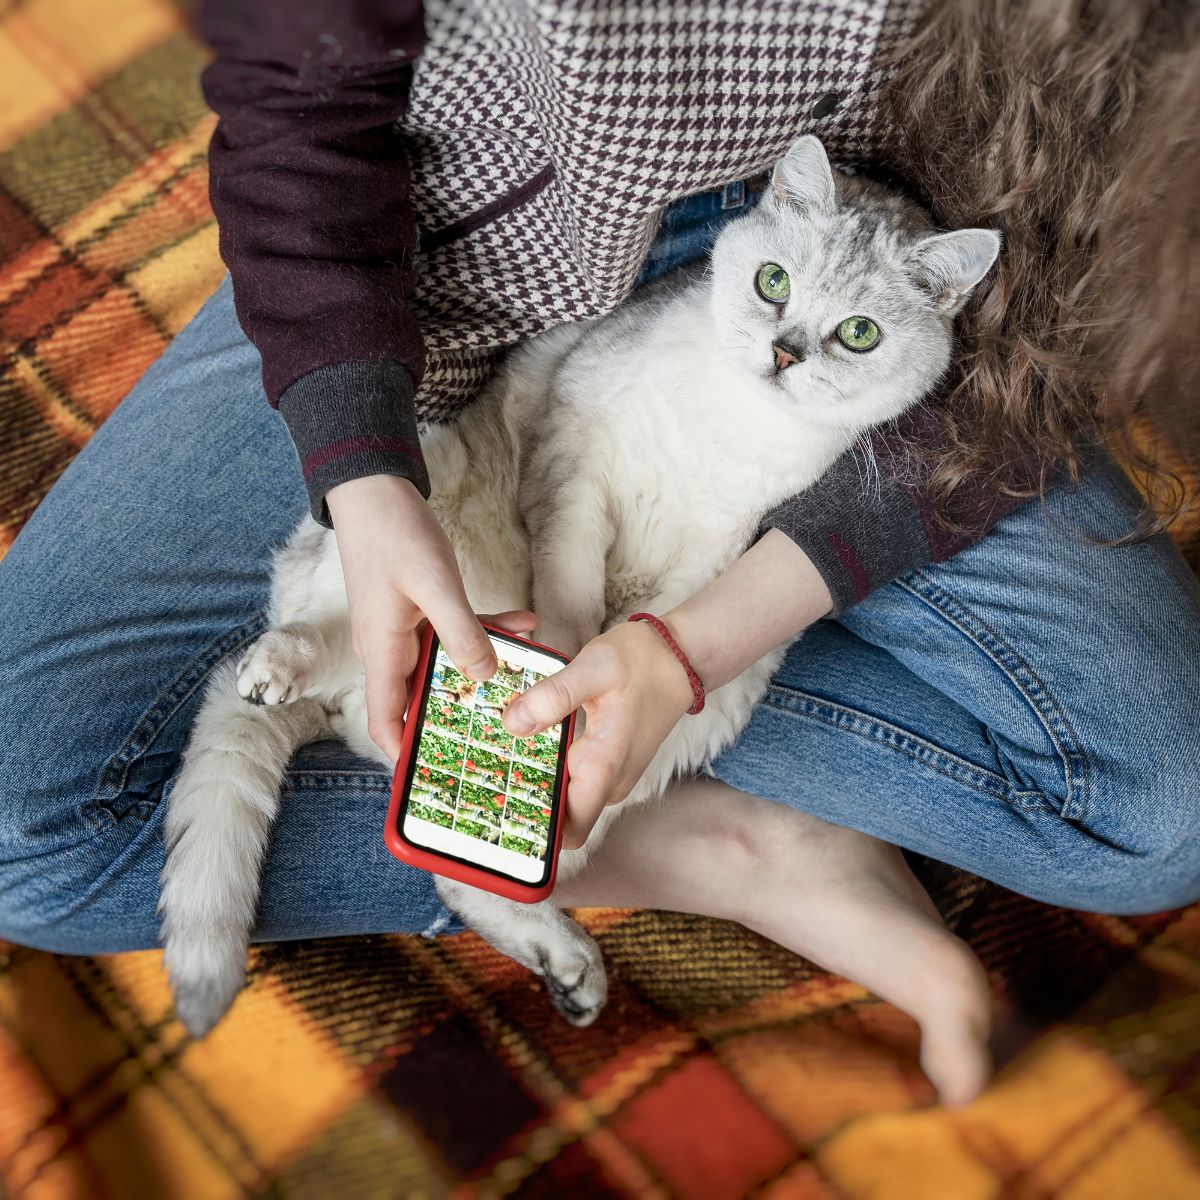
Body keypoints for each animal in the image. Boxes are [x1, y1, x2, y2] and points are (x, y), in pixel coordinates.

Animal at [162, 136, 1003, 1036]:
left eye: (859, 334)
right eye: (773, 282)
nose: (785, 354)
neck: (732, 424)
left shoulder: (719, 555)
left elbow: (642, 628)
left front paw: (569, 717)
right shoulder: (573, 475)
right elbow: (568, 598)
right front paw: (552, 679)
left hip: (708, 710)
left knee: (467, 872)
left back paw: (562, 957)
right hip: (426, 506)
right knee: (327, 639)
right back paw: (277, 670)